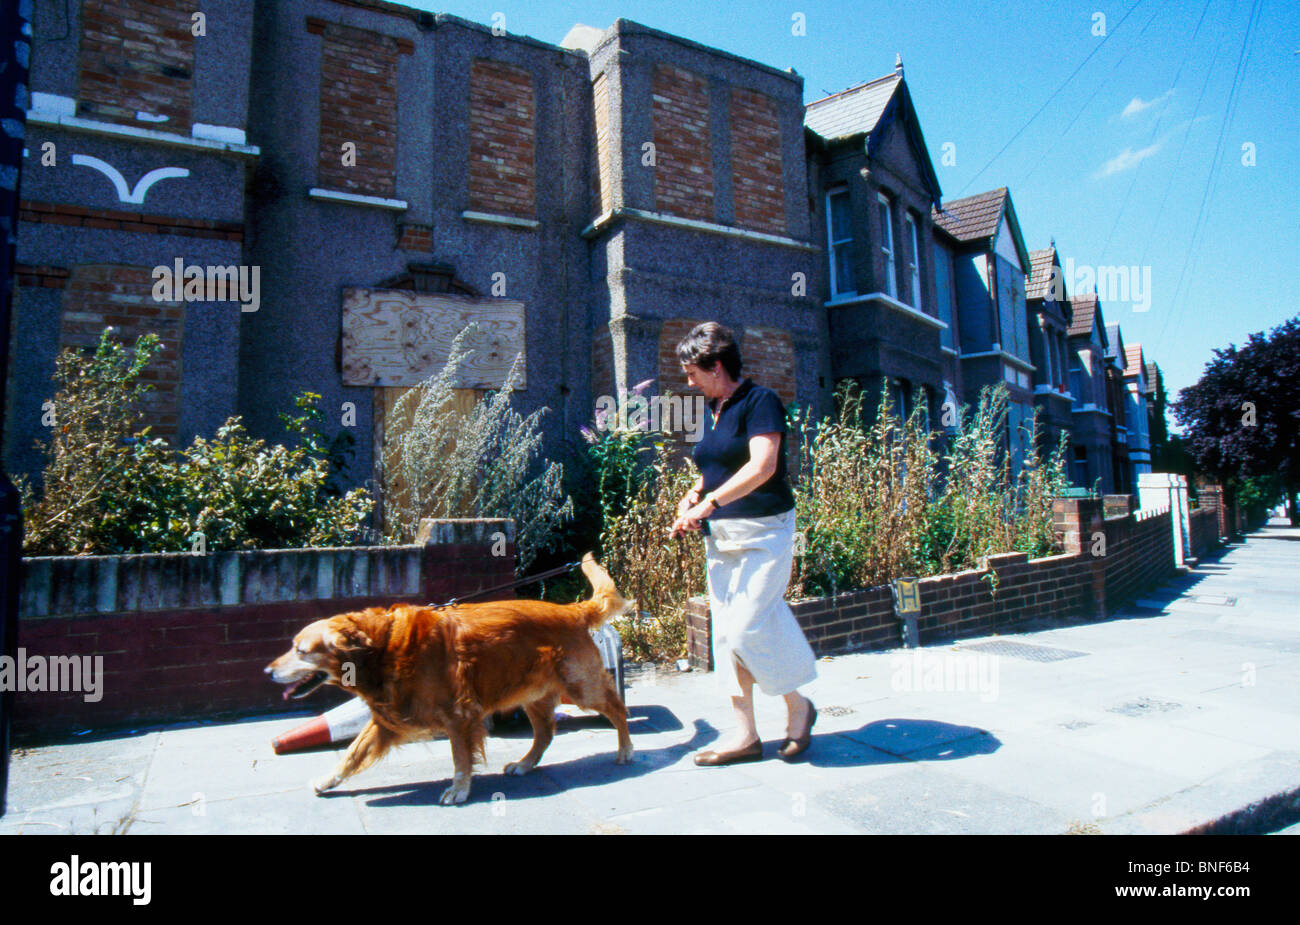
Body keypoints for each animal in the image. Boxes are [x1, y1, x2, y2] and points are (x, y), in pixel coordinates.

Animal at [262, 553, 634, 805]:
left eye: (301, 650)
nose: (267, 672)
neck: (383, 647)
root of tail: (573, 609)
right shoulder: (386, 719)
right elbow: (351, 754)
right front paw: (327, 781)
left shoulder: (459, 714)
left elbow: (459, 757)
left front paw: (459, 789)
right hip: (533, 695)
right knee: (545, 734)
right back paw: (525, 764)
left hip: (581, 687)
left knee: (617, 709)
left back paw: (626, 749)